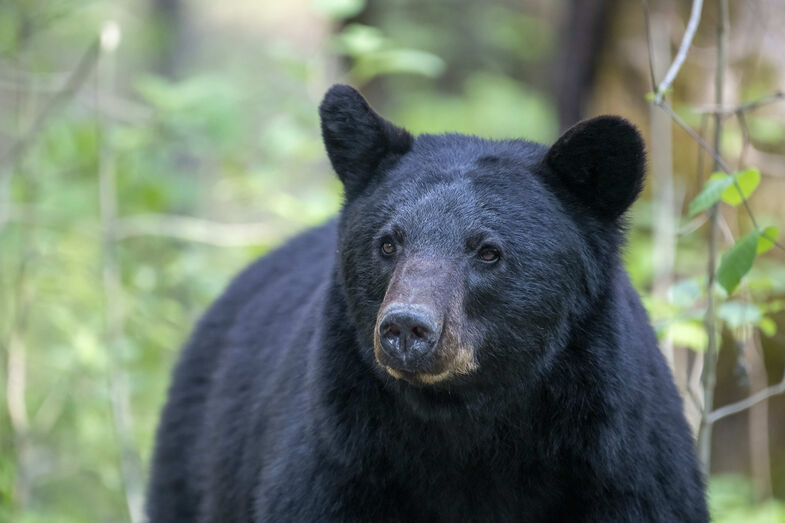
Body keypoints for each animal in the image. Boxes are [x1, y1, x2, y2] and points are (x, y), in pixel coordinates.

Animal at [147, 84, 709, 522]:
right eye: (387, 243)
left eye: (488, 251)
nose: (406, 327)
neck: (467, 423)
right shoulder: (340, 460)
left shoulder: (621, 467)